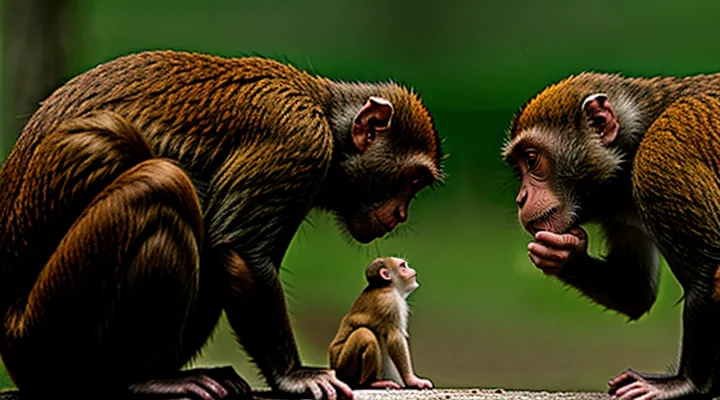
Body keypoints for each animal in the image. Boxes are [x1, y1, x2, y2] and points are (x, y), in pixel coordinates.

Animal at [328, 257, 432, 391]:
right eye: (403, 266)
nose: (412, 270)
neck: (388, 286)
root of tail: (334, 368)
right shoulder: (389, 303)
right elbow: (395, 338)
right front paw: (412, 380)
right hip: (343, 367)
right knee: (365, 334)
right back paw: (370, 383)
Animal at [501, 71, 720, 399]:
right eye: (519, 167)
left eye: (531, 158)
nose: (521, 198)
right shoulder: (619, 210)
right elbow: (635, 289)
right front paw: (565, 256)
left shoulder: (660, 154)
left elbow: (707, 276)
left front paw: (687, 384)